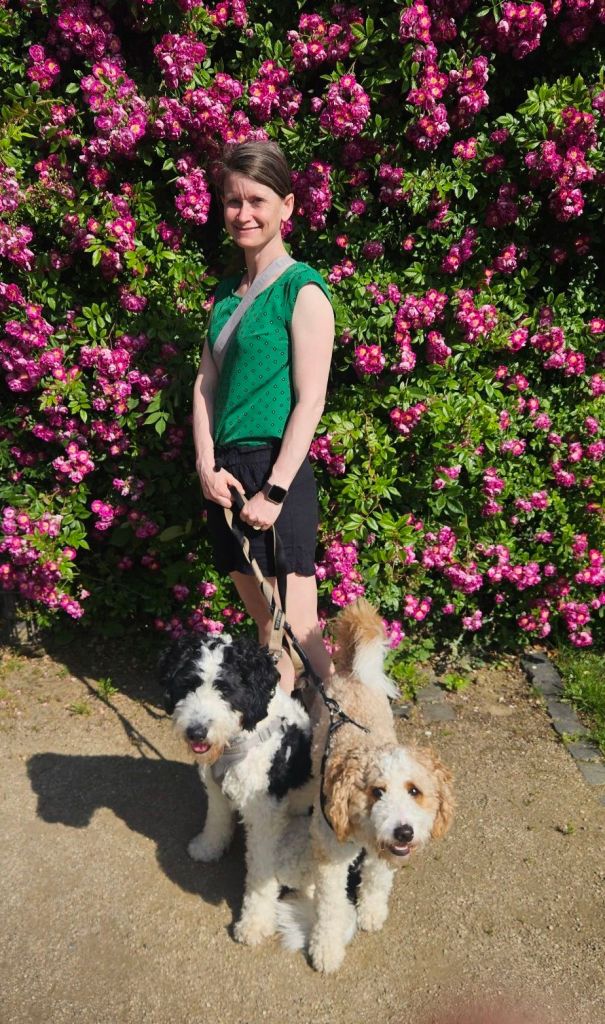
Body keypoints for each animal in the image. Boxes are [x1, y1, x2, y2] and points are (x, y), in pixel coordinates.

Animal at [159, 631, 313, 945]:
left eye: (225, 689)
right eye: (188, 683)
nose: (196, 732)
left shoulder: (265, 817)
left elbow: (261, 875)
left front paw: (255, 923)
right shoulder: (217, 789)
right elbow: (217, 820)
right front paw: (208, 847)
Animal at [277, 598, 454, 973]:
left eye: (414, 791)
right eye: (376, 791)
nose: (404, 832)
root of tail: (351, 672)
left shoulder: (383, 851)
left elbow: (377, 879)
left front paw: (370, 912)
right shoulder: (331, 858)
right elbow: (330, 909)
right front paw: (326, 949)